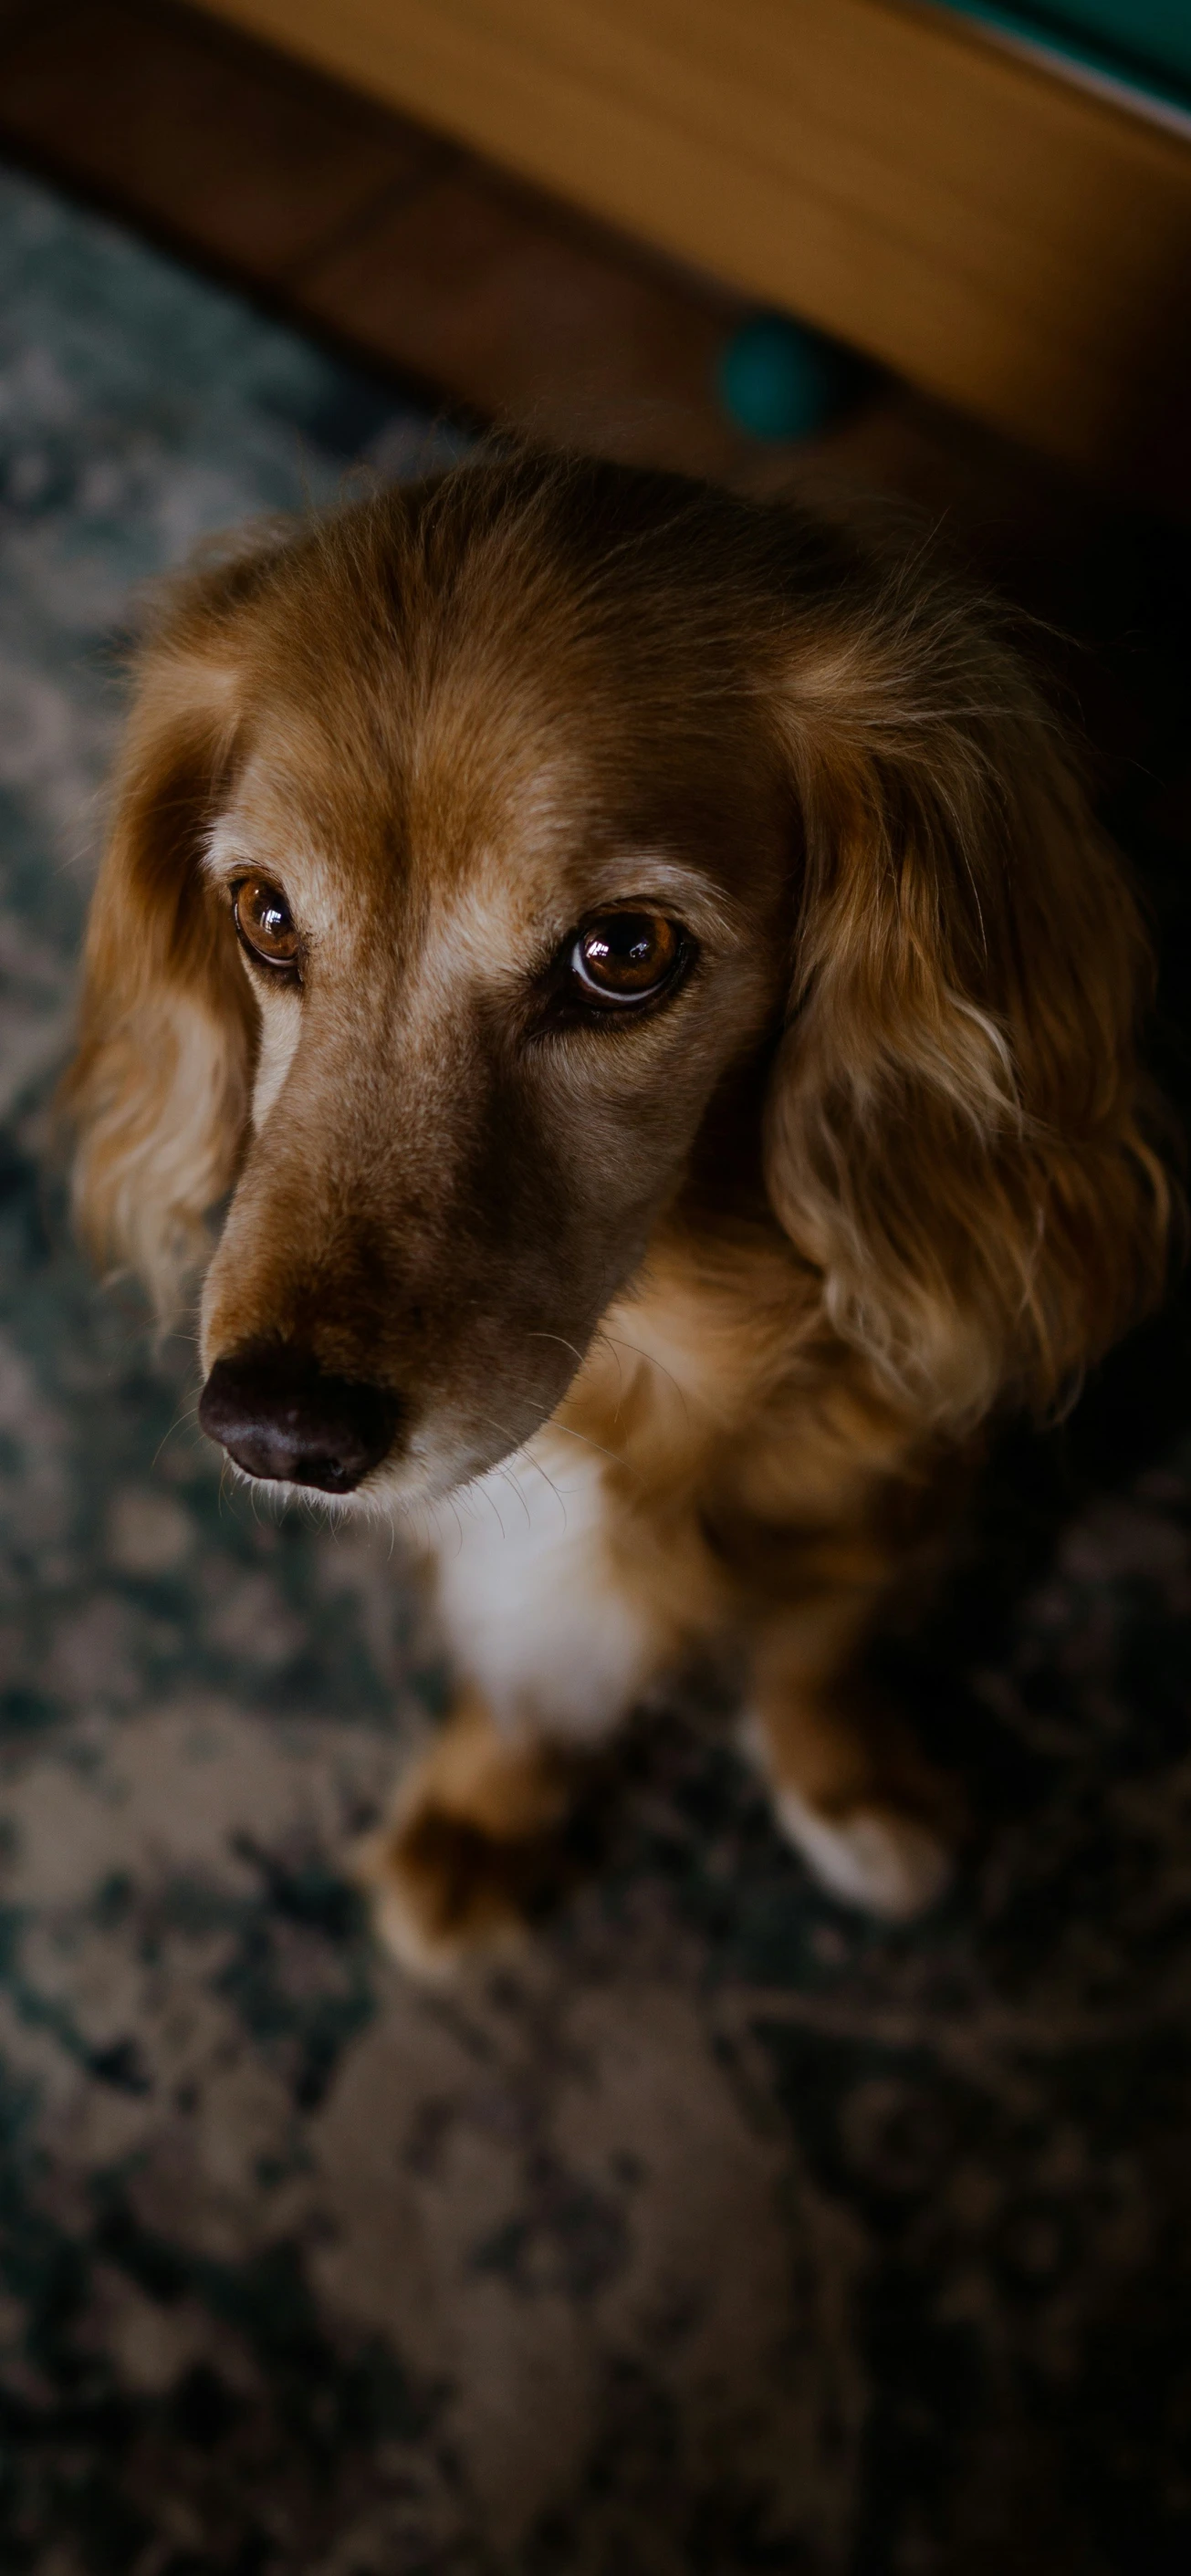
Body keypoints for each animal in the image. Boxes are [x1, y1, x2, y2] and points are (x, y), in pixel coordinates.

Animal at [62, 448, 1170, 1967]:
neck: (650, 1350)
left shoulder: (896, 1480)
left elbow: (819, 1641)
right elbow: (521, 1668)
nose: (277, 1429)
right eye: (264, 915)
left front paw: (847, 1782)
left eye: (625, 951)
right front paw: (484, 1810)